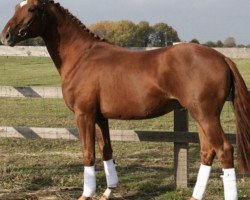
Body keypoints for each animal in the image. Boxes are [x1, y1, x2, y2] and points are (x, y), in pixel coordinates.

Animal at [0, 0, 249, 200]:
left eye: (31, 8)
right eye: (15, 6)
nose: (6, 35)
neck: (82, 56)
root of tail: (222, 57)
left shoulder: (84, 115)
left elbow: (88, 153)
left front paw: (86, 194)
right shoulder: (100, 117)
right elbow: (106, 151)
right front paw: (108, 191)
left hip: (206, 115)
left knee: (224, 150)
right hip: (200, 116)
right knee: (208, 151)